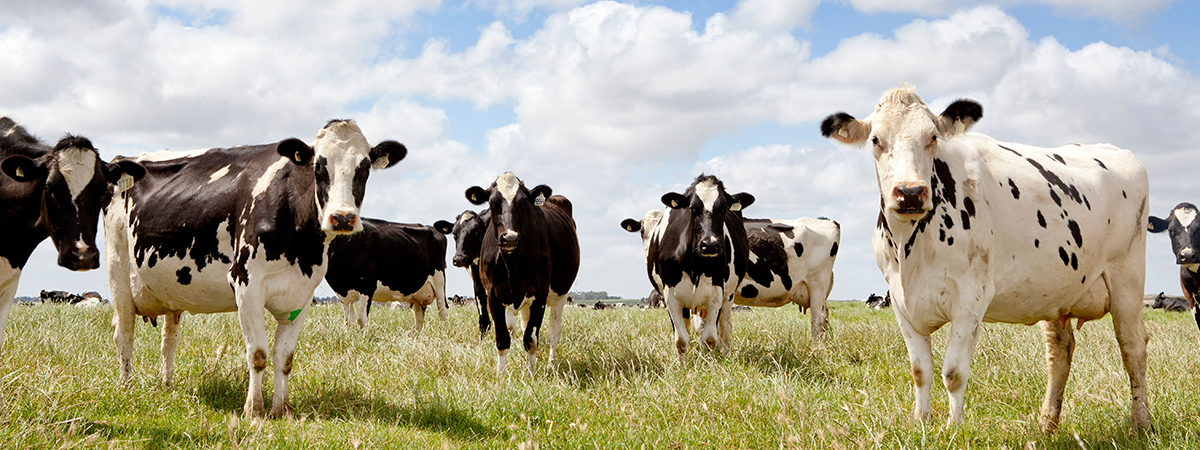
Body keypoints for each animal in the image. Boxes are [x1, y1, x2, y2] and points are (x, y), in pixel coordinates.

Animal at [104, 119, 406, 418]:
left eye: (363, 168)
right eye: (319, 167)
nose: (342, 218)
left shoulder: (303, 293)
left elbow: (284, 358)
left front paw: (282, 409)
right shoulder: (246, 283)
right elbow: (258, 354)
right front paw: (254, 410)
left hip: (169, 289)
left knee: (169, 338)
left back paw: (166, 384)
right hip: (117, 268)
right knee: (124, 333)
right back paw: (126, 387)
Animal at [464, 172, 579, 376]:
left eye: (523, 202)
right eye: (492, 203)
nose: (509, 238)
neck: (511, 263)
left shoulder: (540, 294)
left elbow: (531, 339)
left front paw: (531, 376)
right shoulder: (492, 295)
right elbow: (503, 338)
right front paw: (501, 378)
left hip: (560, 294)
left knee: (553, 331)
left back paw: (550, 365)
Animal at [619, 175, 754, 362]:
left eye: (723, 209)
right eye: (693, 208)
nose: (709, 245)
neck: (694, 266)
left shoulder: (716, 293)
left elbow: (710, 338)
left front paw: (709, 362)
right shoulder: (670, 295)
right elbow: (681, 339)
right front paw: (681, 364)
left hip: (728, 295)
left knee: (724, 328)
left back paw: (724, 353)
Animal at [821, 85, 1150, 432]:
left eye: (933, 137)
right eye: (875, 140)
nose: (910, 192)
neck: (909, 248)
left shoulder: (970, 299)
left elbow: (953, 373)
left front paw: (954, 429)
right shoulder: (900, 301)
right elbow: (920, 370)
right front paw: (922, 422)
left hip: (1127, 279)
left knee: (1133, 347)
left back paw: (1140, 423)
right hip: (1057, 290)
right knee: (1060, 350)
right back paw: (1047, 424)